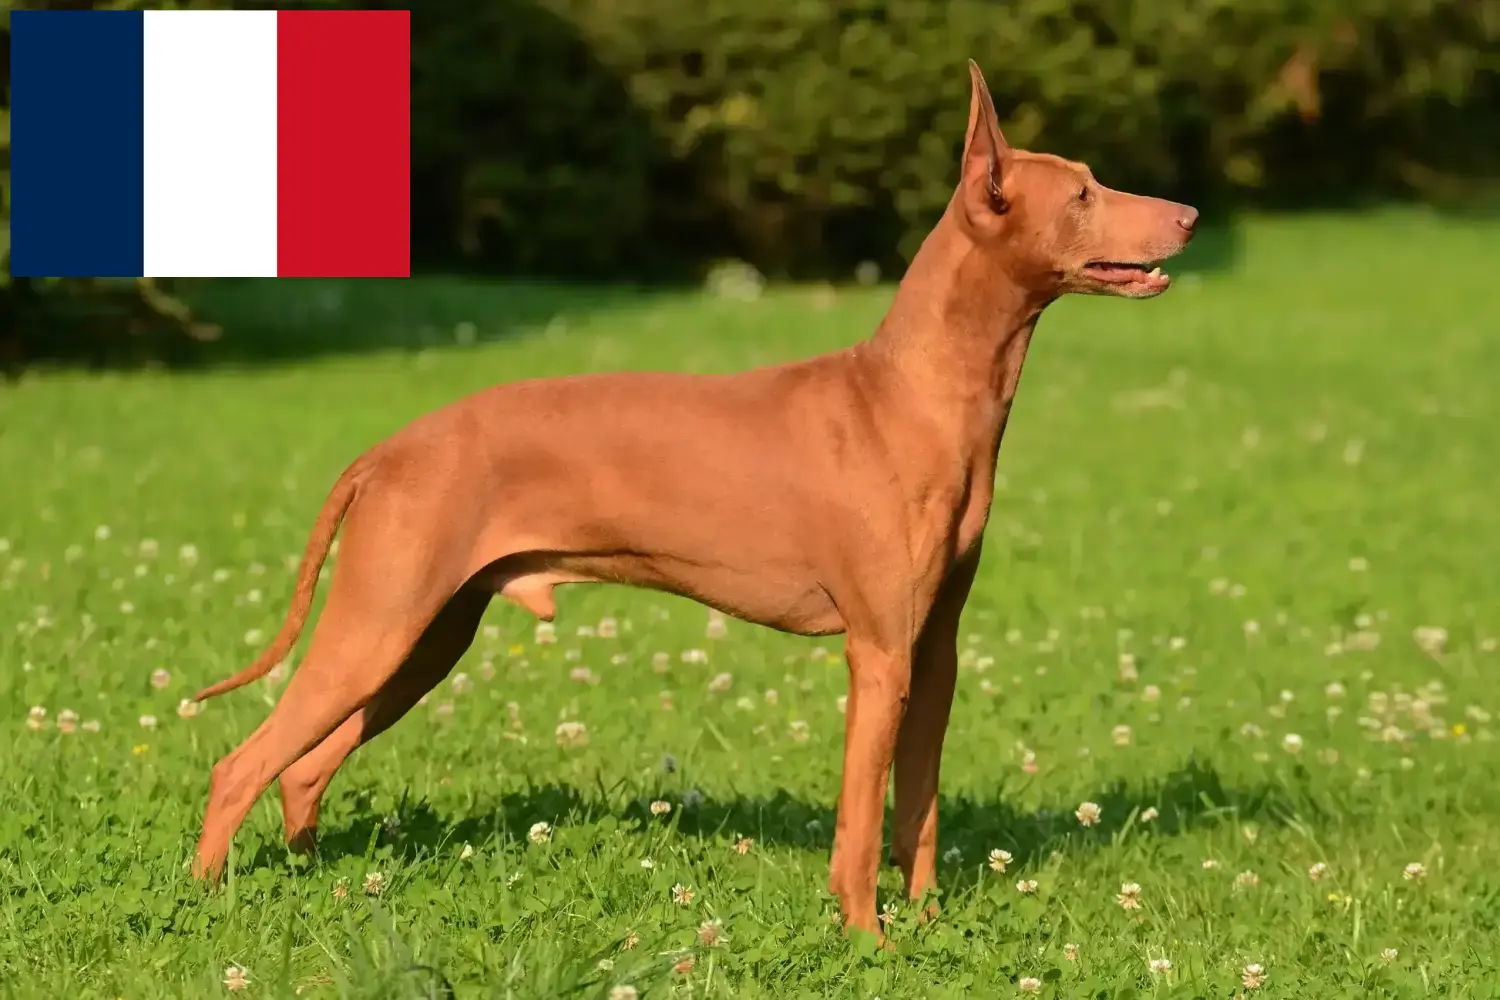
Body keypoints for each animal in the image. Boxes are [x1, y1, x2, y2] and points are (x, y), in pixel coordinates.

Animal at [190, 60, 1194, 941]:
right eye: (1083, 194)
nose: (1186, 214)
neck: (912, 393)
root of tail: (387, 449)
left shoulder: (933, 654)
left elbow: (920, 814)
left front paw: (931, 927)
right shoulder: (878, 655)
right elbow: (861, 825)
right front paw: (867, 941)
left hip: (424, 641)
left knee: (302, 771)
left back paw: (320, 884)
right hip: (379, 627)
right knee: (241, 765)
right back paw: (204, 905)